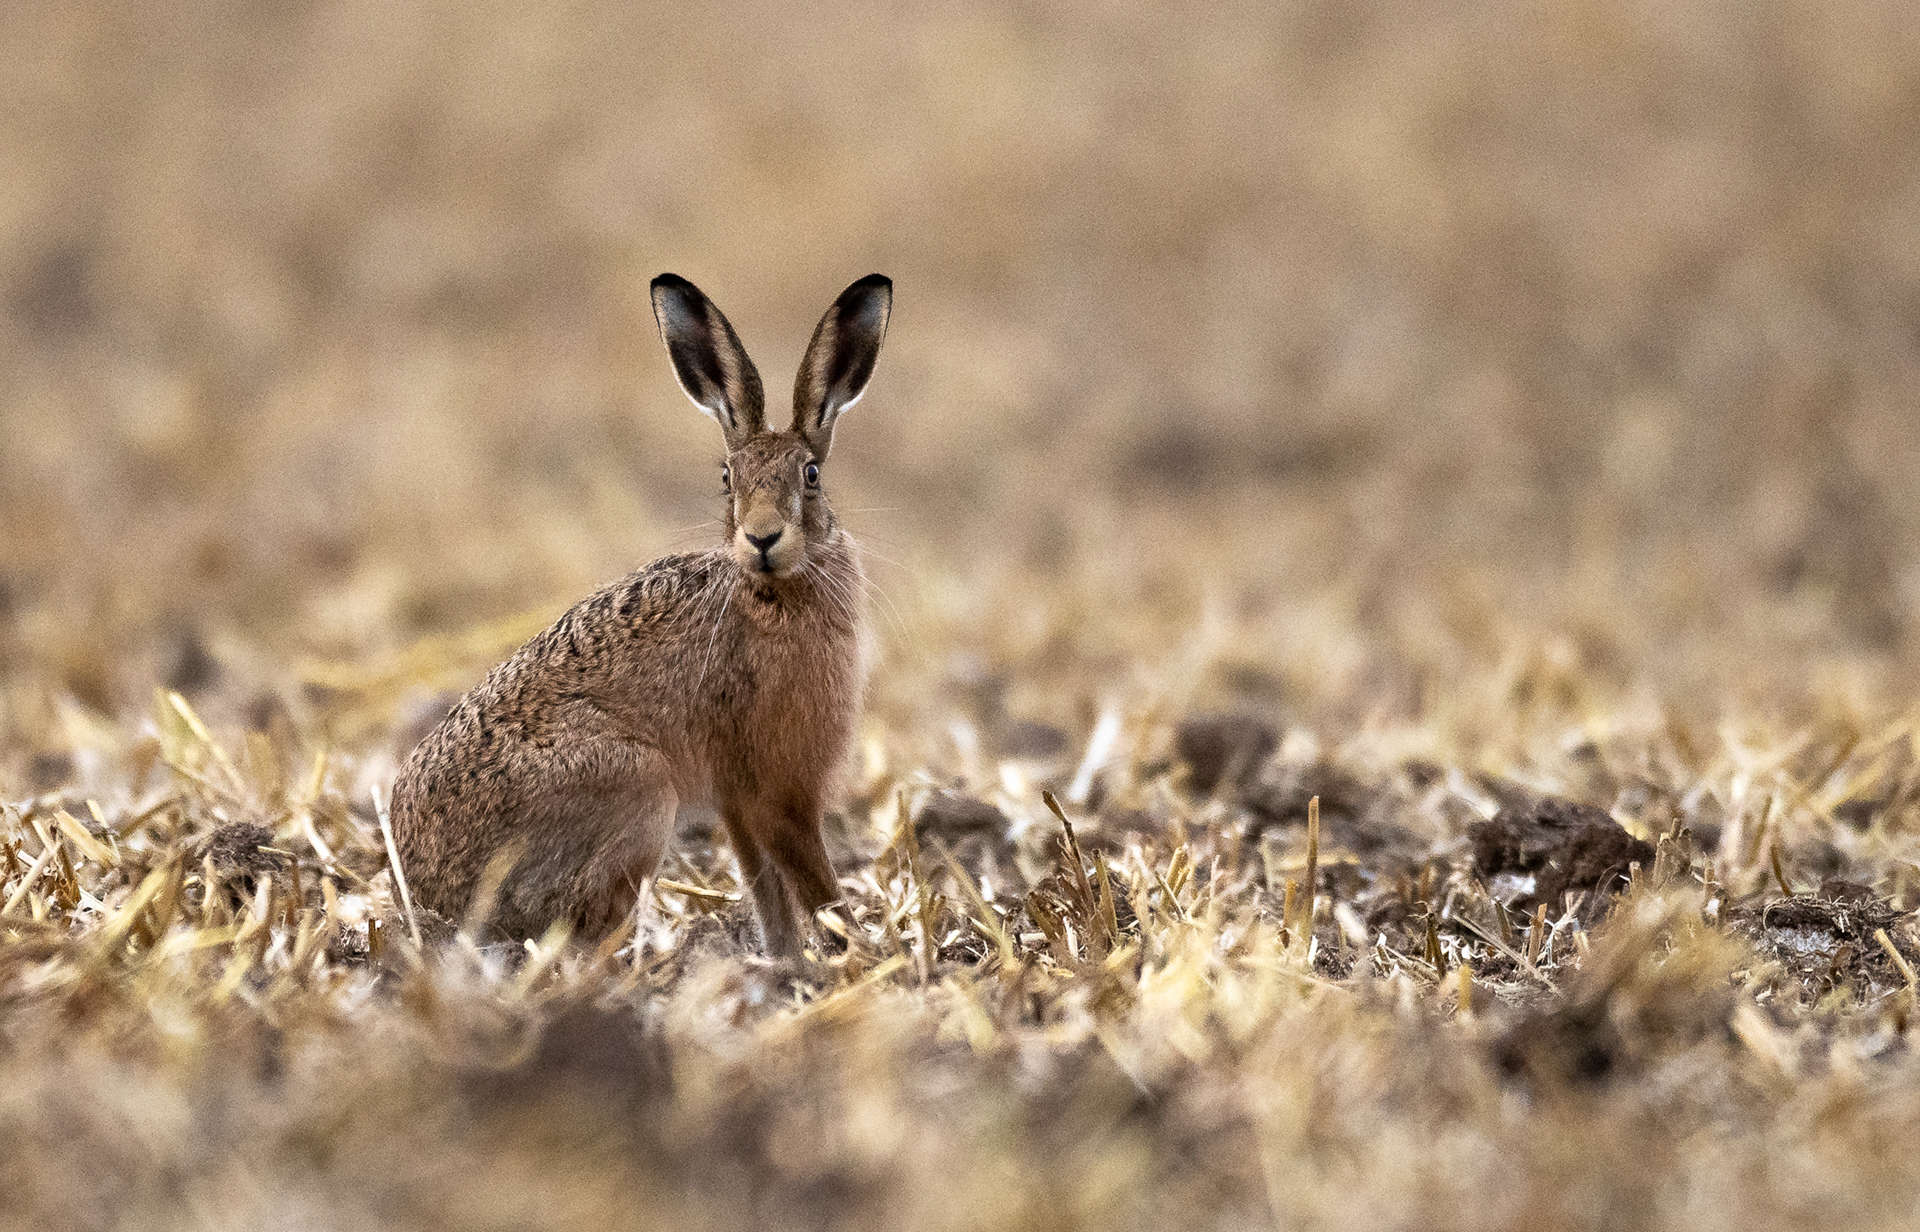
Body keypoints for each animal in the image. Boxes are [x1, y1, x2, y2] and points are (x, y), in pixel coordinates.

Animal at [390, 272, 892, 958]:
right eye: (728, 479)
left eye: (811, 475)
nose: (762, 538)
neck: (770, 590)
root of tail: (435, 904)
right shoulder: (780, 787)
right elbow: (815, 881)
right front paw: (861, 952)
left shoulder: (741, 801)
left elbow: (767, 885)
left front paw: (787, 960)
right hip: (641, 792)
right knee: (577, 930)